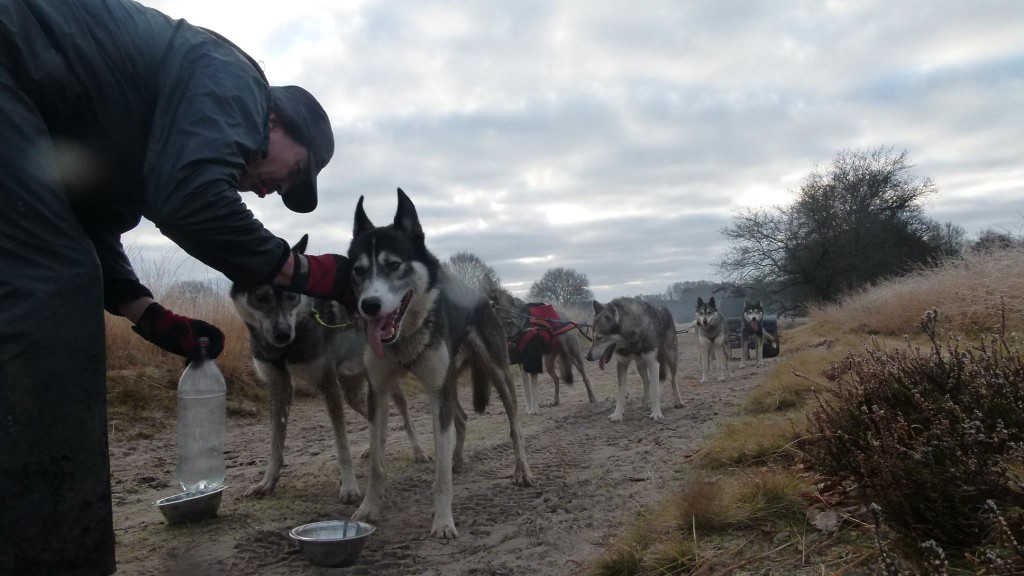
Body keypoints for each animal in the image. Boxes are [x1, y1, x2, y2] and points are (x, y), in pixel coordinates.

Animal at [230, 233, 425, 502]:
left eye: (292, 296)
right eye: (260, 297)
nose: (283, 334)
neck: (287, 348)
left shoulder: (327, 385)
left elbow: (341, 443)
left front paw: (349, 486)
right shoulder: (279, 388)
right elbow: (275, 443)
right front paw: (267, 482)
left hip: (384, 385)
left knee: (405, 416)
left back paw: (419, 451)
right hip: (352, 392)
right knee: (373, 416)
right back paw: (374, 448)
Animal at [346, 189, 532, 537]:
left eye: (394, 265)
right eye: (358, 270)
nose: (369, 305)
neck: (405, 336)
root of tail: (480, 296)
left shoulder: (437, 394)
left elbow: (440, 474)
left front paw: (443, 521)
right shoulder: (379, 392)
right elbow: (377, 462)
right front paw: (369, 508)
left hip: (497, 375)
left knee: (514, 426)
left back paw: (522, 470)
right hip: (449, 384)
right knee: (462, 418)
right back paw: (458, 459)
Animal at [479, 274, 598, 412]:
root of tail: (566, 319)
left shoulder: (533, 360)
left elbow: (533, 387)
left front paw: (534, 410)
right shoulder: (521, 362)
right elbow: (526, 389)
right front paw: (528, 409)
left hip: (574, 357)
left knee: (584, 377)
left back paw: (592, 397)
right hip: (548, 364)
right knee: (556, 379)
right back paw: (555, 400)